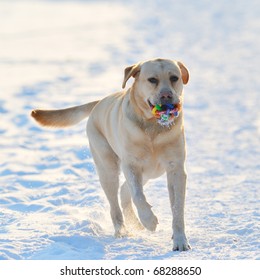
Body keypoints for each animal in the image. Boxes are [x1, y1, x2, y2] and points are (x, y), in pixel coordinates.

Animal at [32, 58, 191, 250]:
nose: (167, 96)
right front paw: (149, 220)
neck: (153, 128)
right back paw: (122, 230)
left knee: (124, 191)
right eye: (152, 80)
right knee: (116, 202)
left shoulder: (176, 169)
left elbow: (178, 209)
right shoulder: (131, 165)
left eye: (174, 78)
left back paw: (134, 222)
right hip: (108, 168)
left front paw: (180, 240)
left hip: (146, 173)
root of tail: (99, 102)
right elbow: (138, 196)